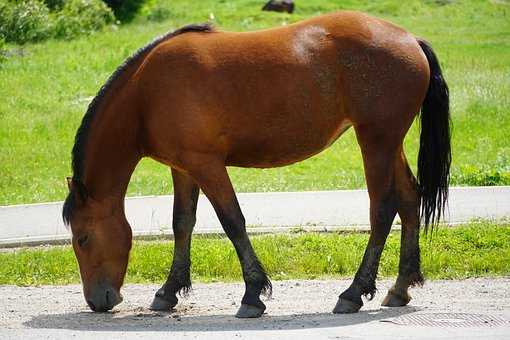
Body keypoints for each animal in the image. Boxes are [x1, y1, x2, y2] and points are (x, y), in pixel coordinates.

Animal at [61, 10, 448, 318]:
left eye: (82, 238)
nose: (97, 301)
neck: (147, 92)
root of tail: (410, 40)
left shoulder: (207, 166)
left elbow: (233, 222)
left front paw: (252, 294)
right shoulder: (184, 168)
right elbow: (182, 224)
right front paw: (168, 292)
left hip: (376, 142)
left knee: (382, 210)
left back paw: (353, 293)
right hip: (389, 144)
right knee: (409, 200)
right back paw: (400, 287)